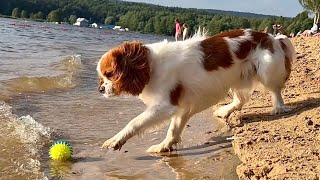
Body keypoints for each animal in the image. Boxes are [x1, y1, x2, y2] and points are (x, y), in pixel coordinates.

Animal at [97, 29, 296, 153]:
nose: (100, 89)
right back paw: (225, 111)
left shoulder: (165, 105)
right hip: (237, 77)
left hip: (266, 70)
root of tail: (273, 38)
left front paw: (115, 140)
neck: (152, 65)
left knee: (275, 90)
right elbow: (173, 129)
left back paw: (278, 107)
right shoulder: (182, 107)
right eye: (102, 76)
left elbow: (134, 122)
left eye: (110, 74)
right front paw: (164, 146)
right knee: (240, 100)